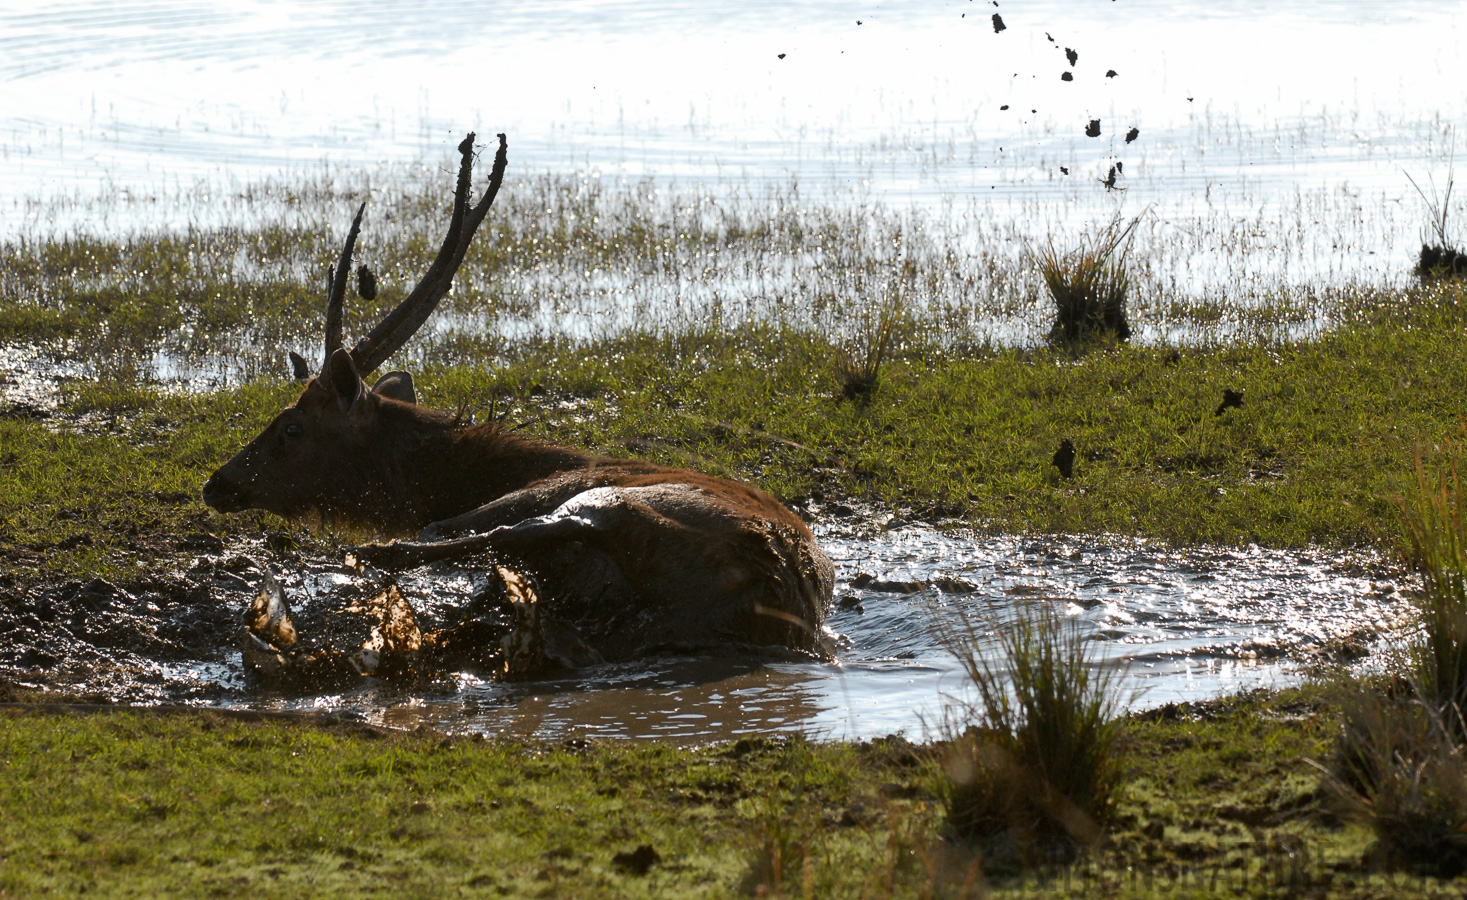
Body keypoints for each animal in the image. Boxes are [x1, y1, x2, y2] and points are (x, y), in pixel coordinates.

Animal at [200, 133, 833, 666]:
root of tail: (775, 582)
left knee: (489, 533)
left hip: (607, 501)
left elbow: (446, 527)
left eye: (291, 427)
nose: (217, 483)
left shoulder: (542, 487)